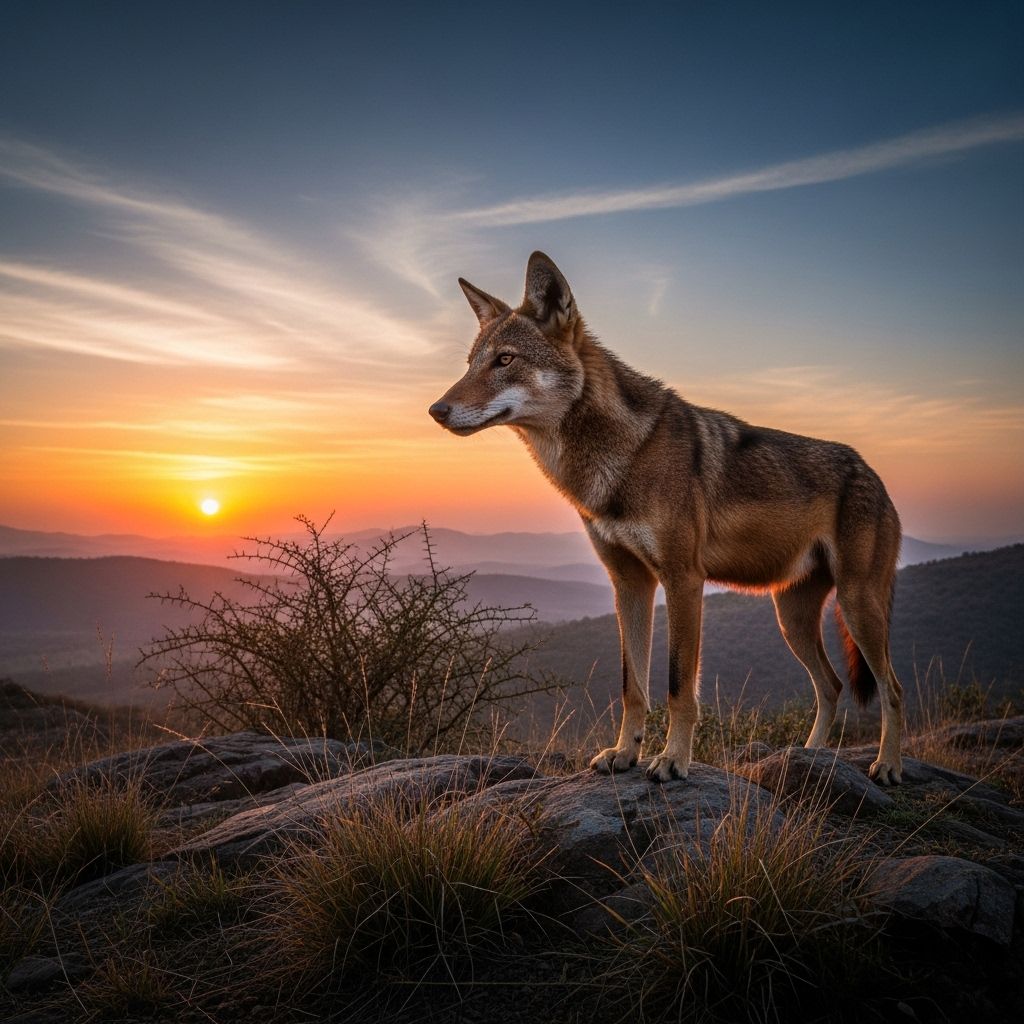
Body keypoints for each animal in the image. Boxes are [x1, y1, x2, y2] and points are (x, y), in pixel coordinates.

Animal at [429, 252, 904, 785]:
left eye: (505, 360)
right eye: (471, 363)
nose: (436, 410)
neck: (621, 458)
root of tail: (873, 474)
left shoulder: (682, 580)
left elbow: (678, 685)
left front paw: (673, 760)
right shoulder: (629, 584)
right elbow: (632, 686)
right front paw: (624, 753)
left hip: (856, 606)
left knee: (892, 689)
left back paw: (887, 766)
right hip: (792, 617)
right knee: (832, 685)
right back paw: (809, 758)